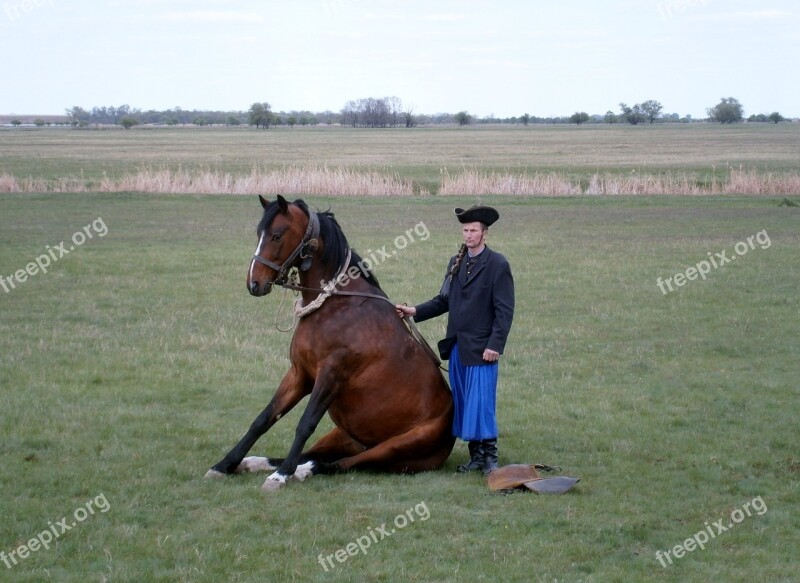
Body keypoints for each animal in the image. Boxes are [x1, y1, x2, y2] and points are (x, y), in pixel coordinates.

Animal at [205, 197, 456, 492]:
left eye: (276, 235)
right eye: (259, 234)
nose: (254, 283)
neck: (336, 304)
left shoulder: (330, 375)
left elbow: (305, 424)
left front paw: (281, 476)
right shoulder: (300, 375)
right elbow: (264, 419)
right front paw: (225, 464)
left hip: (394, 447)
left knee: (339, 464)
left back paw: (298, 471)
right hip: (342, 436)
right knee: (315, 455)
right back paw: (254, 463)